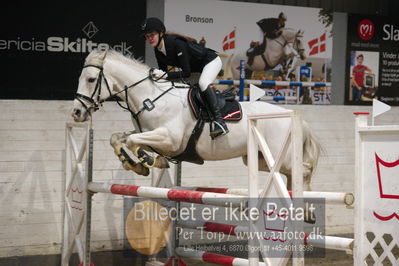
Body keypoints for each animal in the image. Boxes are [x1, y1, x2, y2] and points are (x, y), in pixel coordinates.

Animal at [72, 50, 322, 190]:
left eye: (91, 79)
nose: (76, 112)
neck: (150, 97)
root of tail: (296, 118)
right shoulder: (150, 134)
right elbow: (118, 138)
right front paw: (136, 164)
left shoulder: (171, 140)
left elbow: (134, 142)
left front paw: (148, 161)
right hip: (260, 159)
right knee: (290, 175)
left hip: (282, 155)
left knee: (304, 170)